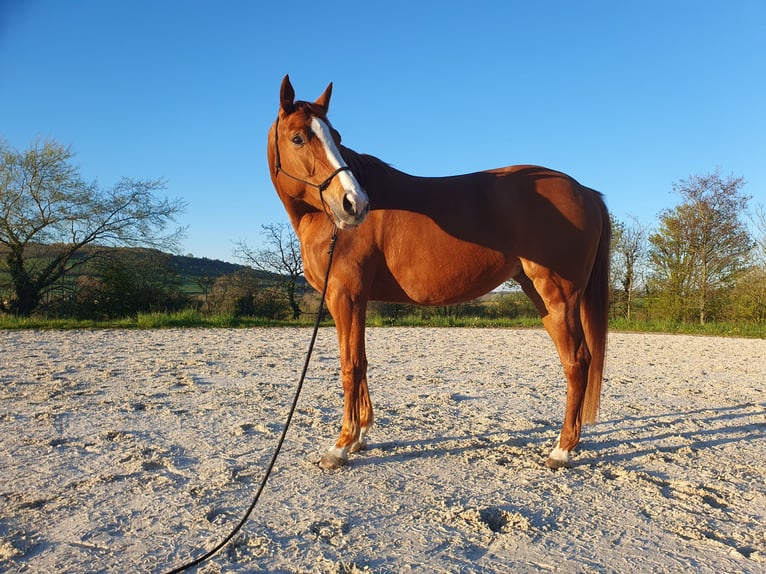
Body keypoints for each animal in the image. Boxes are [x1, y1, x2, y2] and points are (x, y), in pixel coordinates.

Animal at [267, 75, 610, 470]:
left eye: (336, 137)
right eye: (298, 138)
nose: (355, 204)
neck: (322, 218)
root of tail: (585, 191)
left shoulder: (345, 295)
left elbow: (349, 366)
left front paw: (340, 446)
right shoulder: (357, 300)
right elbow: (362, 362)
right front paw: (361, 436)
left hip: (559, 296)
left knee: (577, 362)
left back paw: (562, 450)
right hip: (542, 297)